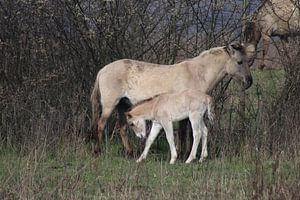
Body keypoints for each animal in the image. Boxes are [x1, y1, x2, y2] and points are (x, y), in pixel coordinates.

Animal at [89, 41, 253, 155]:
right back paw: (97, 152)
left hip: (123, 105)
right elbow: (183, 133)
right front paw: (181, 154)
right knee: (101, 125)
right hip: (110, 105)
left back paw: (129, 153)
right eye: (239, 62)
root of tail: (103, 70)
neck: (196, 74)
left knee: (122, 128)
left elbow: (188, 133)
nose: (249, 82)